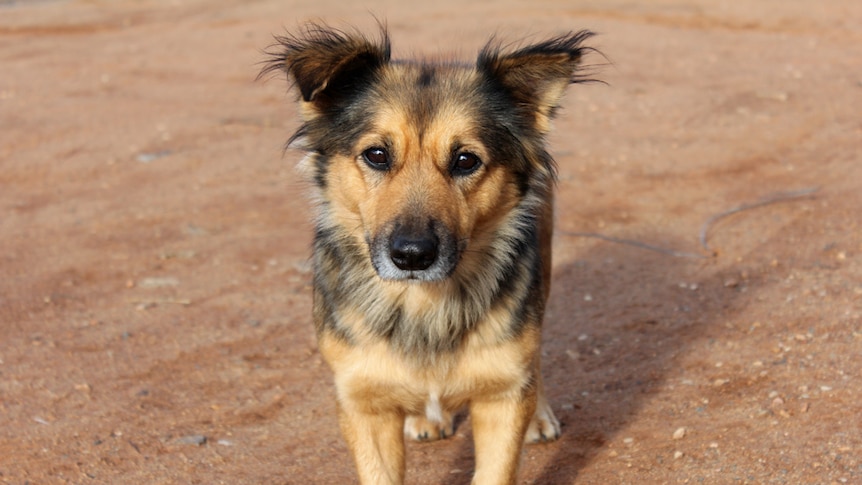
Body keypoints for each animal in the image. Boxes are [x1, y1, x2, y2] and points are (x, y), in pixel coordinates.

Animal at [264, 23, 596, 484]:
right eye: (377, 155)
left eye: (465, 160)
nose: (412, 256)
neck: (421, 306)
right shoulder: (362, 400)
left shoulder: (501, 399)